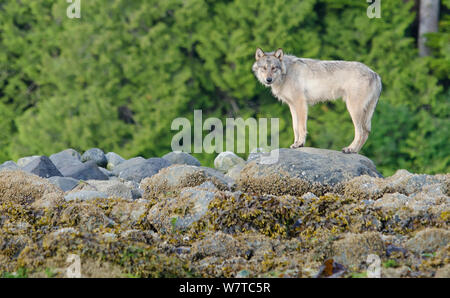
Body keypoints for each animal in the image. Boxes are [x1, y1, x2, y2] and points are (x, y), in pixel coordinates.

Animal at [251, 48, 382, 154]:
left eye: (274, 68)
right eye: (264, 68)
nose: (268, 80)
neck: (286, 72)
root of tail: (375, 74)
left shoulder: (301, 104)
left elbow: (301, 127)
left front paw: (300, 144)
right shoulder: (292, 106)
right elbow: (295, 127)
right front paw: (295, 144)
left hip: (353, 109)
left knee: (360, 132)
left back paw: (350, 149)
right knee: (366, 132)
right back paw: (355, 151)